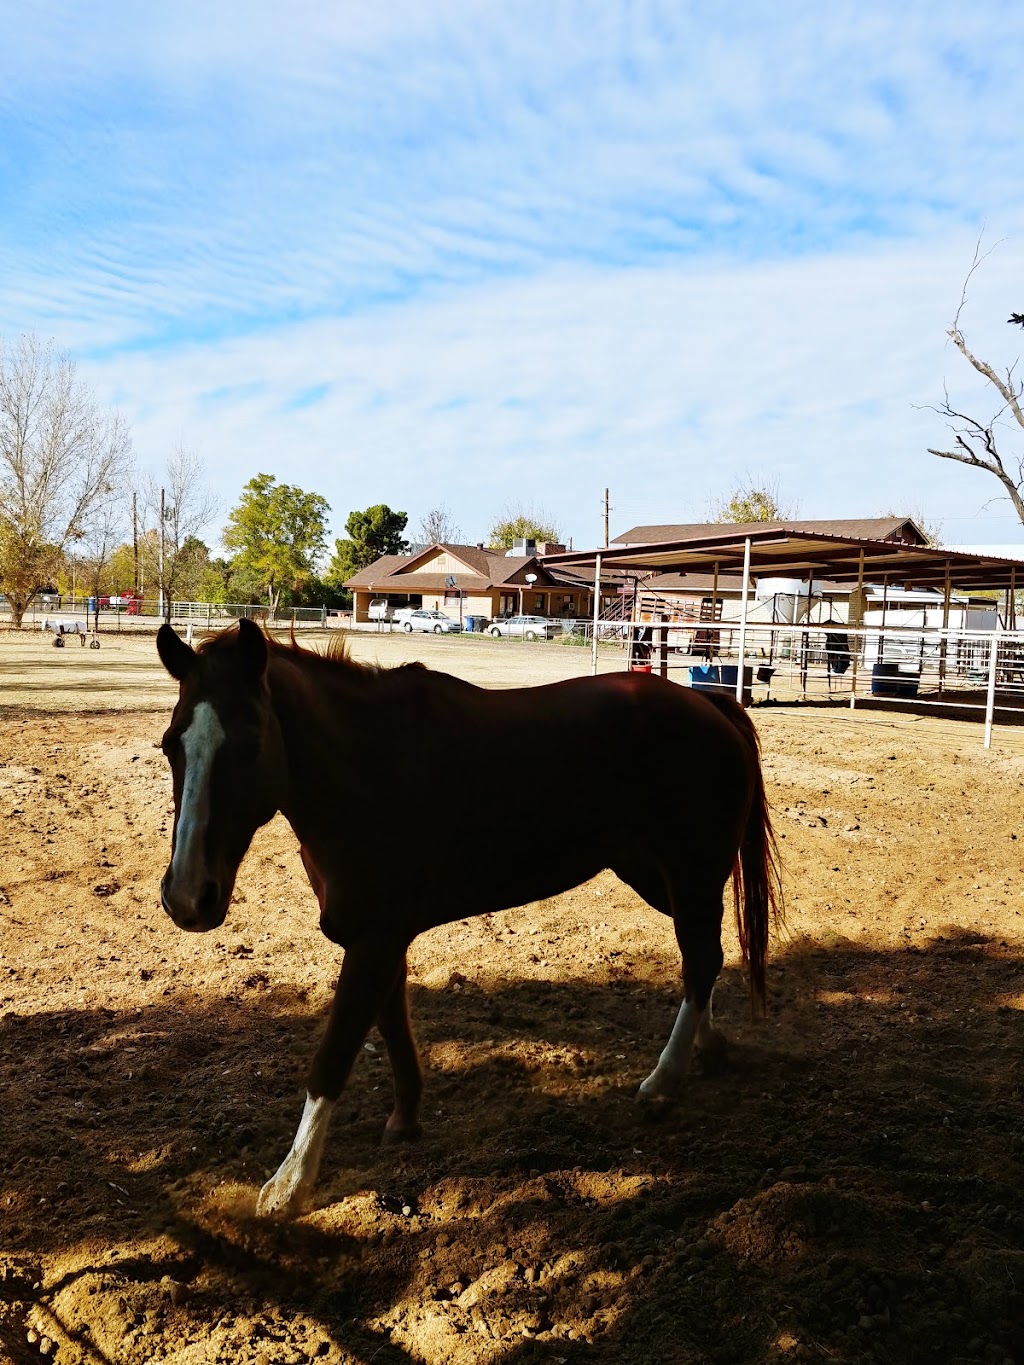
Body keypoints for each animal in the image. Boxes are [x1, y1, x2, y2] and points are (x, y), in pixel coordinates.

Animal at [156, 619, 780, 1217]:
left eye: (250, 745)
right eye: (170, 747)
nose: (188, 896)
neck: (366, 770)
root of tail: (708, 706)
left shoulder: (374, 939)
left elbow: (334, 1054)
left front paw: (290, 1185)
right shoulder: (379, 938)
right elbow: (390, 1023)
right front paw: (405, 1119)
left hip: (689, 875)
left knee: (701, 960)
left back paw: (663, 1081)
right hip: (657, 877)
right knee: (703, 960)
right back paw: (707, 1050)